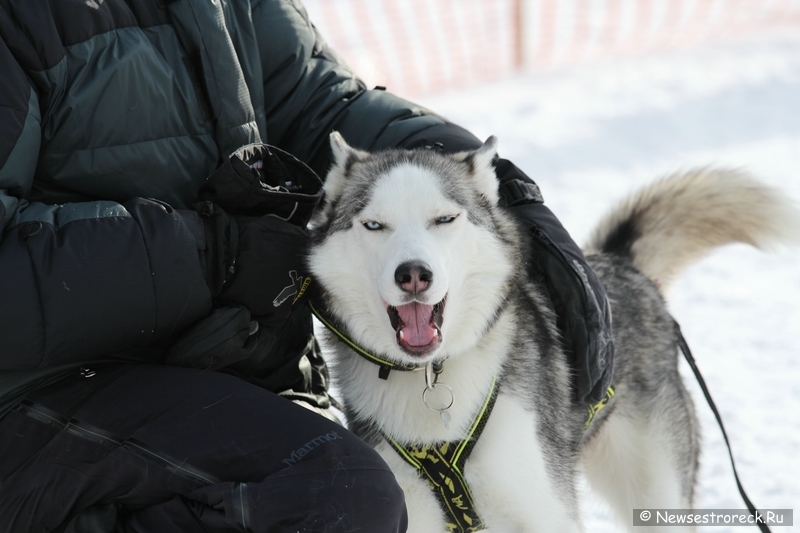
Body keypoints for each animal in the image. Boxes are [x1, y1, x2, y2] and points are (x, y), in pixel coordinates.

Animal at [308, 131, 800, 528]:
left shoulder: (545, 511)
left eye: (444, 219)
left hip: (655, 491)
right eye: (374, 224)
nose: (413, 274)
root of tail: (623, 266)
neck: (434, 383)